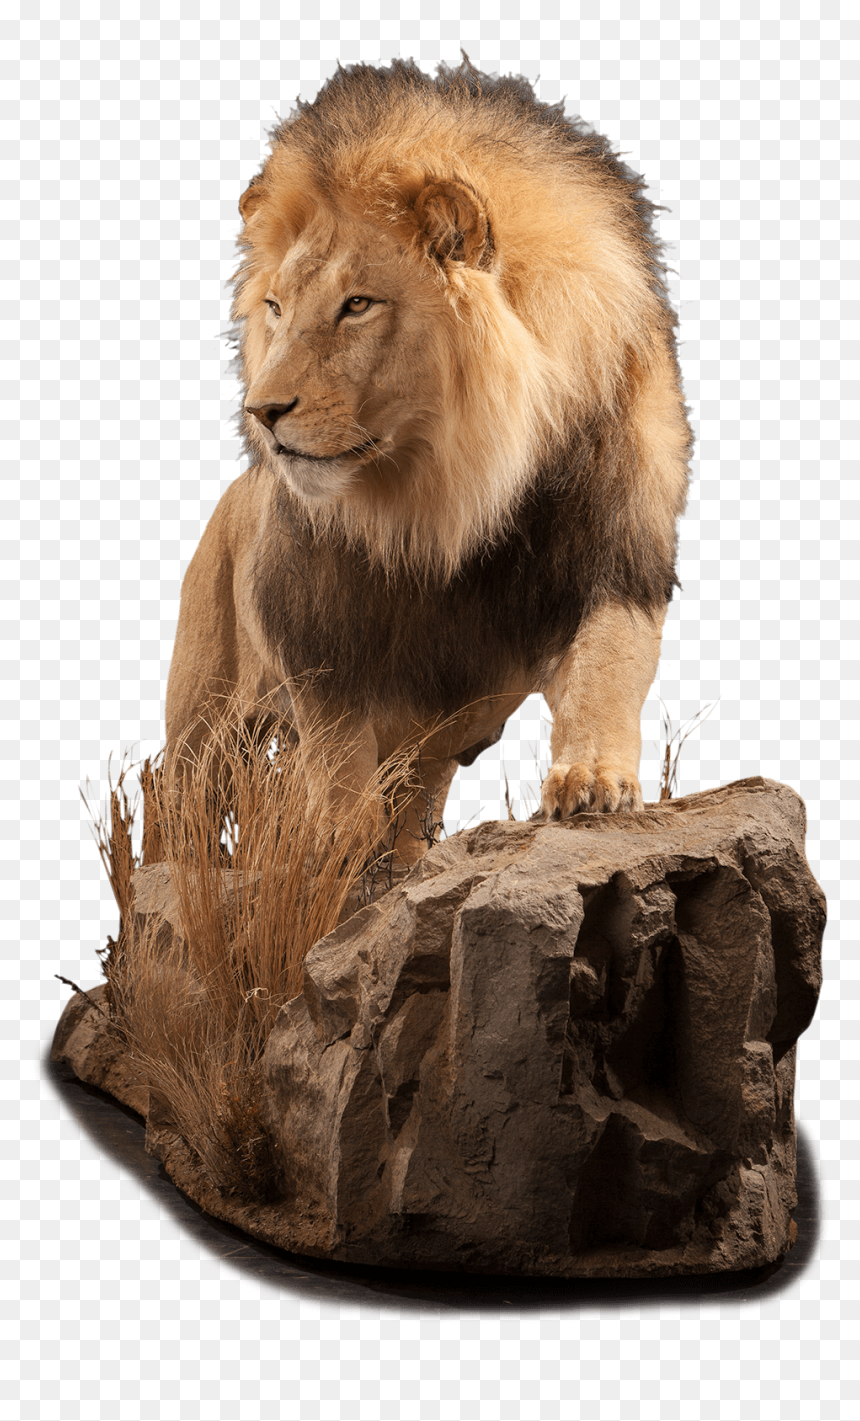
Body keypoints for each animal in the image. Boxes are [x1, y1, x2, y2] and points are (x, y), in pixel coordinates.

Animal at [165, 57, 692, 865]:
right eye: (277, 308)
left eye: (358, 305)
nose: (262, 411)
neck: (444, 489)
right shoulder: (316, 617)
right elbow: (334, 746)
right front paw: (337, 844)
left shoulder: (617, 549)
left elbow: (608, 667)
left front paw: (593, 781)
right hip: (203, 718)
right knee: (177, 812)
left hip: (431, 745)